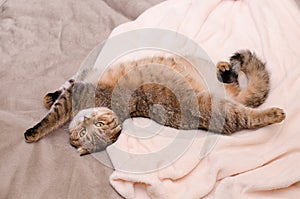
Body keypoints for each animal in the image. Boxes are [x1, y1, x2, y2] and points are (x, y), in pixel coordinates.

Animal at [24, 49, 286, 155]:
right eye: (84, 132)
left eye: (97, 126)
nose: (86, 120)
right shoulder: (76, 83)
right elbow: (61, 89)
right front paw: (49, 96)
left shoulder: (74, 93)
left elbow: (52, 116)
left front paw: (34, 131)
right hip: (228, 96)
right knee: (236, 86)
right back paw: (224, 70)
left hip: (226, 110)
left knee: (249, 115)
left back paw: (273, 113)